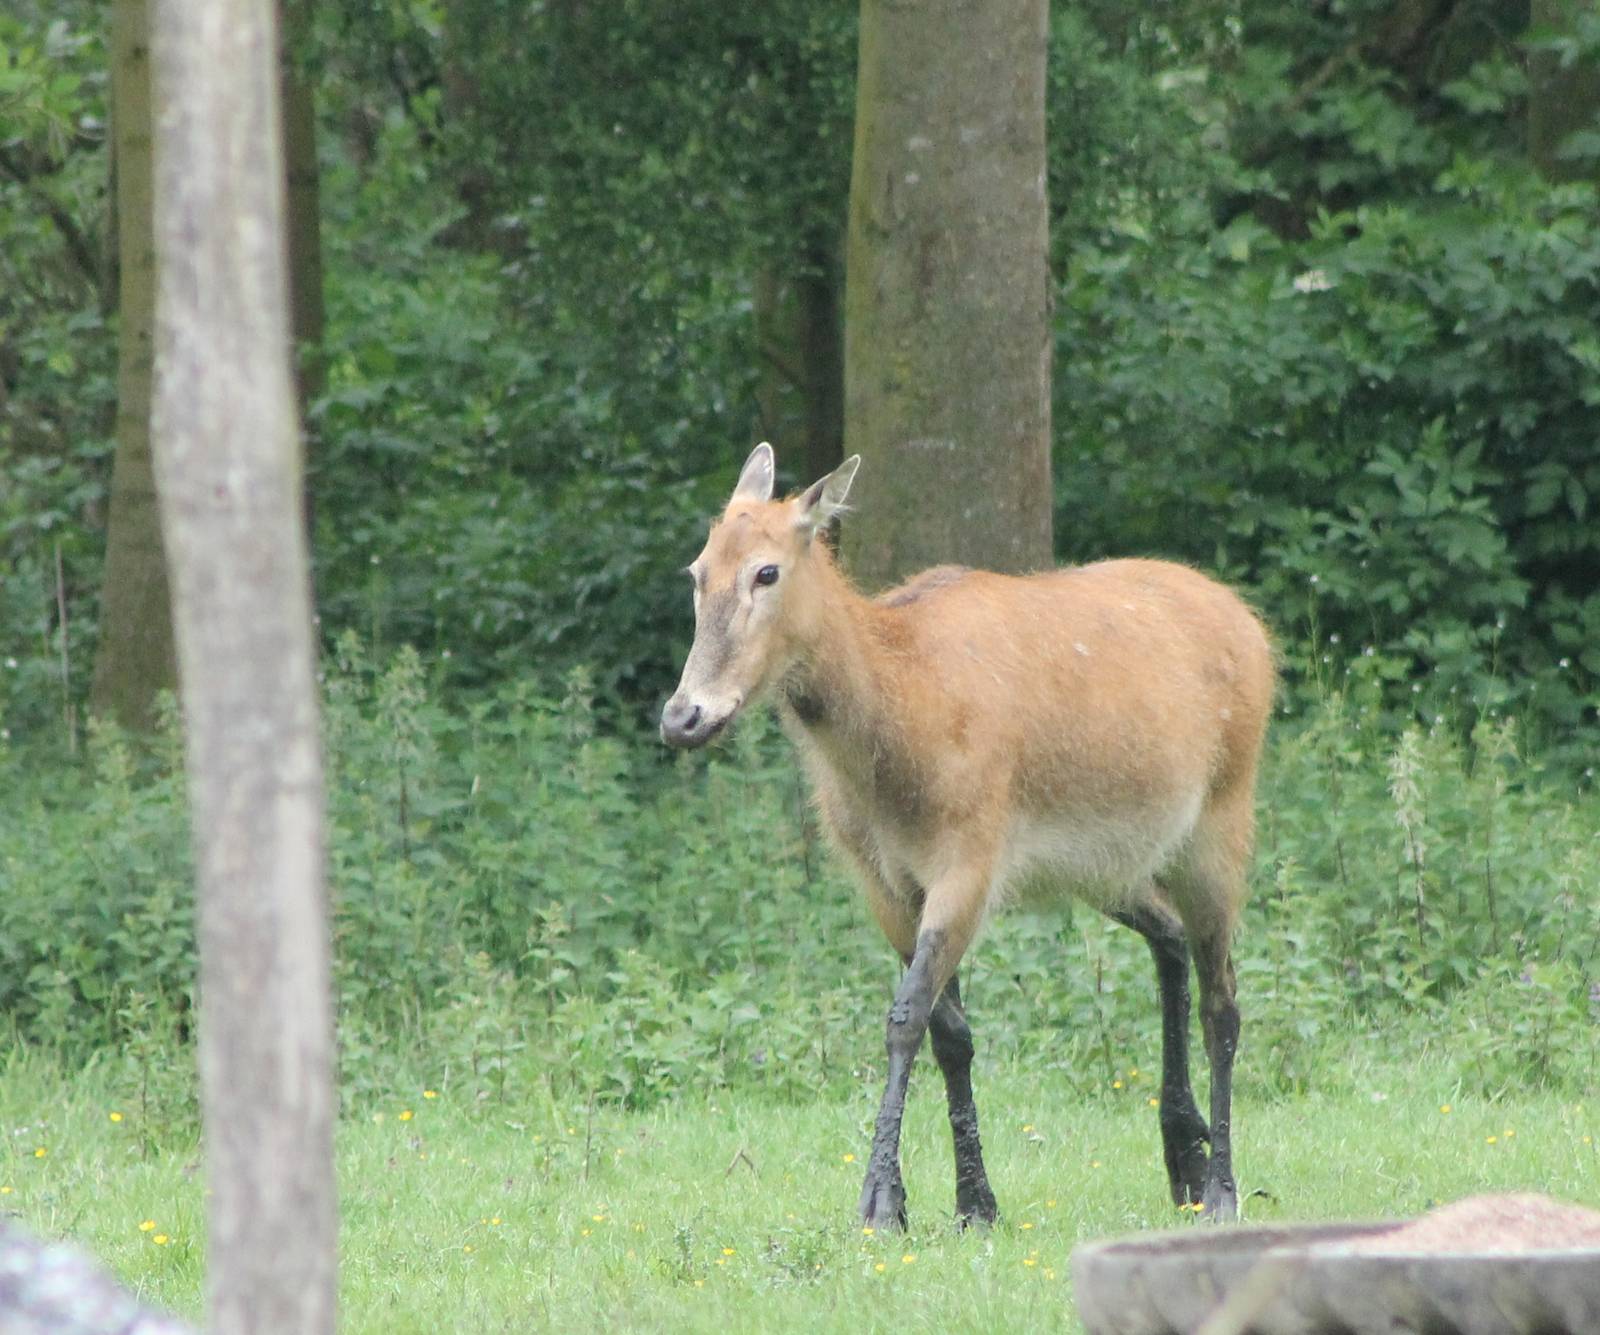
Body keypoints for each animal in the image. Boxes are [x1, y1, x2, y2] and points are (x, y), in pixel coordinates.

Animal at [660, 443, 1275, 1228]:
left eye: (766, 570)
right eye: (697, 570)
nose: (684, 715)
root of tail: (1255, 630)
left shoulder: (970, 856)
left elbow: (904, 1016)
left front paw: (880, 1202)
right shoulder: (881, 880)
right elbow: (949, 1031)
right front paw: (972, 1200)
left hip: (1222, 819)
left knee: (1224, 999)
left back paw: (1223, 1186)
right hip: (1106, 864)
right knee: (1168, 940)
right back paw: (1183, 1155)